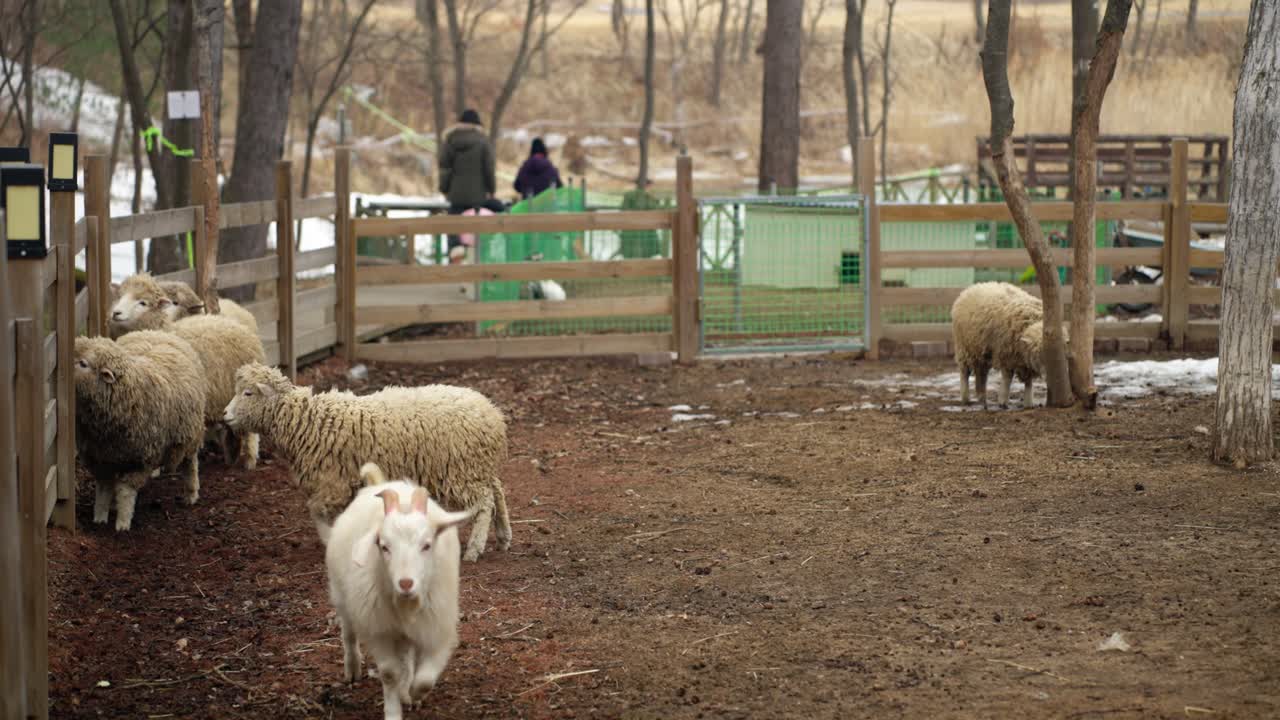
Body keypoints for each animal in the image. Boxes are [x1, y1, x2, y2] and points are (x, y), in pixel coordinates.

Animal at [73, 331, 207, 530]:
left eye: (83, 363)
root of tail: (159, 333)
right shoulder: (101, 458)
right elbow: (104, 489)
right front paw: (100, 517)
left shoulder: (139, 460)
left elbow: (125, 492)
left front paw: (122, 523)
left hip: (190, 434)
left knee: (190, 464)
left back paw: (191, 494)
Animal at [223, 362, 511, 561]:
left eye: (248, 393)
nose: (225, 415)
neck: (308, 421)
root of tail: (492, 414)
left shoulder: (332, 483)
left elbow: (316, 510)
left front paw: (329, 540)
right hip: (477, 467)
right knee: (497, 491)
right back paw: (504, 535)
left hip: (461, 469)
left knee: (485, 503)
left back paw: (475, 548)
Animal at [326, 463, 471, 720]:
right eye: (384, 546)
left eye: (427, 545)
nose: (405, 584)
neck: (406, 605)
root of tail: (382, 483)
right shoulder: (381, 630)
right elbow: (390, 673)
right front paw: (394, 710)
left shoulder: (437, 629)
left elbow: (425, 679)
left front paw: (412, 694)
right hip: (341, 593)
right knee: (349, 632)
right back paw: (352, 668)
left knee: (407, 656)